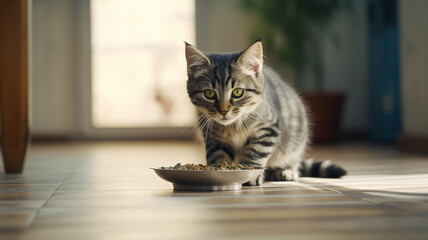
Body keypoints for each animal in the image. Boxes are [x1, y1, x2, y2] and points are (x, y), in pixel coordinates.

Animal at [184, 39, 344, 186]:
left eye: (237, 92)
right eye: (209, 94)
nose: (223, 111)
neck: (232, 126)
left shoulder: (268, 129)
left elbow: (256, 152)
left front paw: (250, 174)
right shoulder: (214, 139)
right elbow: (218, 156)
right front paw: (220, 171)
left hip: (295, 141)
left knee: (294, 162)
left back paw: (286, 171)